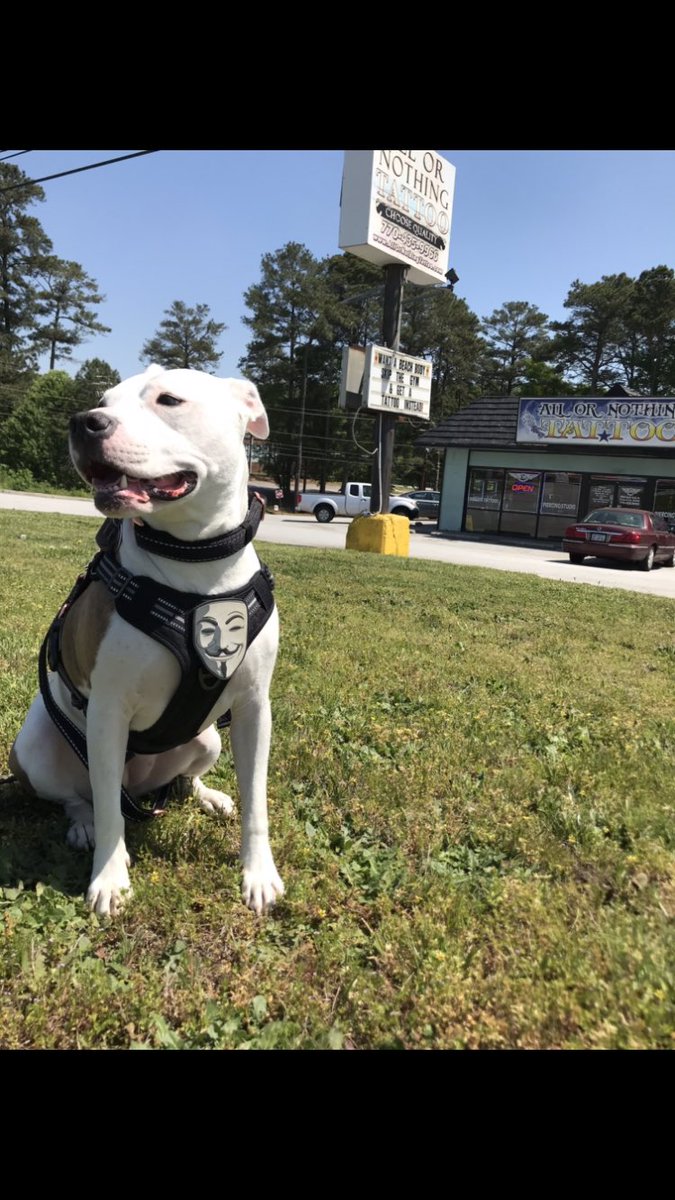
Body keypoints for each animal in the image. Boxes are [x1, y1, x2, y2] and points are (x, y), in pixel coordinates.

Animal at [8, 364, 281, 916]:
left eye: (169, 400)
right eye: (103, 401)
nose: (84, 422)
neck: (196, 561)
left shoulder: (253, 707)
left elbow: (257, 799)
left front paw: (258, 873)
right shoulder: (109, 711)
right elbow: (110, 810)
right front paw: (109, 880)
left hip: (208, 736)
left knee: (181, 781)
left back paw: (210, 796)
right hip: (38, 749)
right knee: (84, 796)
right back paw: (84, 825)